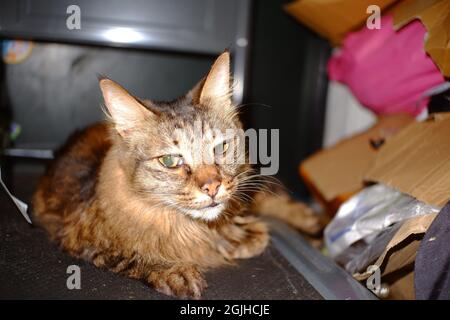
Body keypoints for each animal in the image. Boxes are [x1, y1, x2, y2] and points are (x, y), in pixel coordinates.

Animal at [33, 51, 322, 298]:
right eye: (170, 161)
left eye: (220, 147)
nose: (212, 187)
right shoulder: (76, 236)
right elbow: (132, 254)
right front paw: (176, 270)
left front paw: (238, 238)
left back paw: (310, 222)